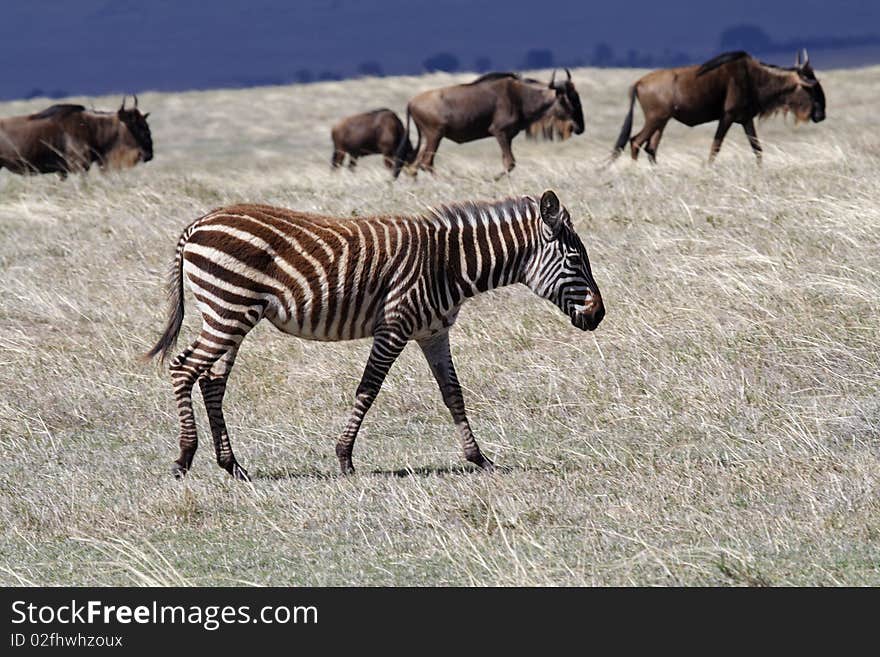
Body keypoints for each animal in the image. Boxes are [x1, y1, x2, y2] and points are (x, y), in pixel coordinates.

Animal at [146, 188, 604, 476]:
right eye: (575, 259)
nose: (599, 314)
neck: (448, 263)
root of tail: (197, 224)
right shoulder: (395, 326)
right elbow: (368, 389)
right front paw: (344, 458)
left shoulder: (433, 333)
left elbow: (453, 393)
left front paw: (479, 458)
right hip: (228, 309)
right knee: (184, 369)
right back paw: (184, 458)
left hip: (228, 315)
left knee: (211, 381)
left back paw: (233, 466)